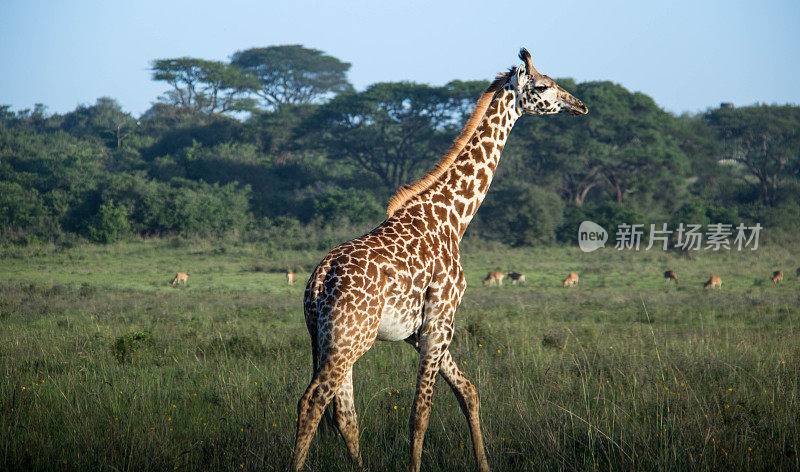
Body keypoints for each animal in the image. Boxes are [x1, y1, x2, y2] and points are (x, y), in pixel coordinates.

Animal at [294, 48, 588, 472]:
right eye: (545, 86)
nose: (579, 105)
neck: (453, 219)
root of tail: (317, 281)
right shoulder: (439, 321)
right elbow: (421, 413)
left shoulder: (423, 331)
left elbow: (469, 391)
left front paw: (484, 464)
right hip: (350, 338)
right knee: (313, 402)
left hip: (330, 337)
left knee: (345, 415)